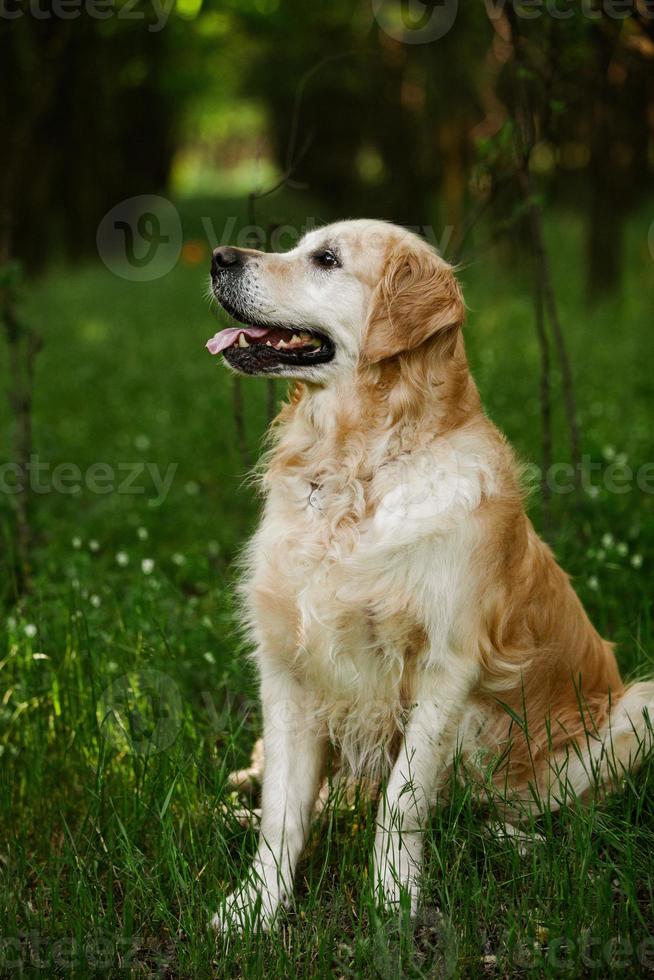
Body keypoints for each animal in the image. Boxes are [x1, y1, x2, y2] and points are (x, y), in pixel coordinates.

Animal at [208, 218, 652, 932]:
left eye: (325, 259)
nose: (219, 257)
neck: (358, 470)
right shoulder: (289, 666)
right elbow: (282, 814)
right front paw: (255, 908)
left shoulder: (445, 667)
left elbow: (403, 800)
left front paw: (392, 898)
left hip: (635, 712)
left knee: (534, 813)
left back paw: (510, 841)